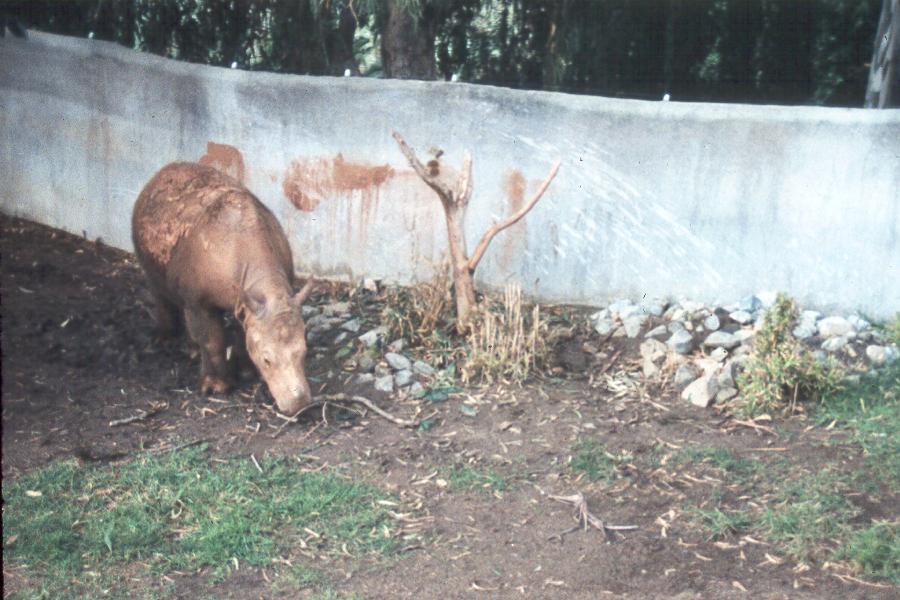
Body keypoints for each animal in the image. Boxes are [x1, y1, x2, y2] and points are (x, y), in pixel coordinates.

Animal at [132, 162, 313, 415]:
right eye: (267, 360)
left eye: (304, 353)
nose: (299, 404)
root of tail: (159, 174)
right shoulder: (199, 301)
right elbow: (211, 339)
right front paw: (216, 387)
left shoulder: (249, 303)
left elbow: (243, 332)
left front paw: (246, 372)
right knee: (159, 291)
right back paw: (165, 340)